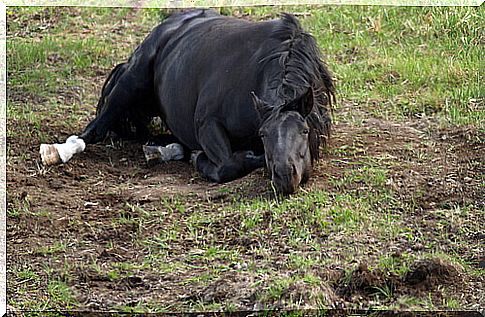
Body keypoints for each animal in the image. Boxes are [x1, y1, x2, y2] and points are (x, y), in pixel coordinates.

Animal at [38, 8, 332, 194]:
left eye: (304, 131)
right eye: (263, 133)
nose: (284, 176)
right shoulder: (207, 123)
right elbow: (227, 165)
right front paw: (200, 158)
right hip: (130, 83)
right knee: (94, 130)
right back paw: (58, 151)